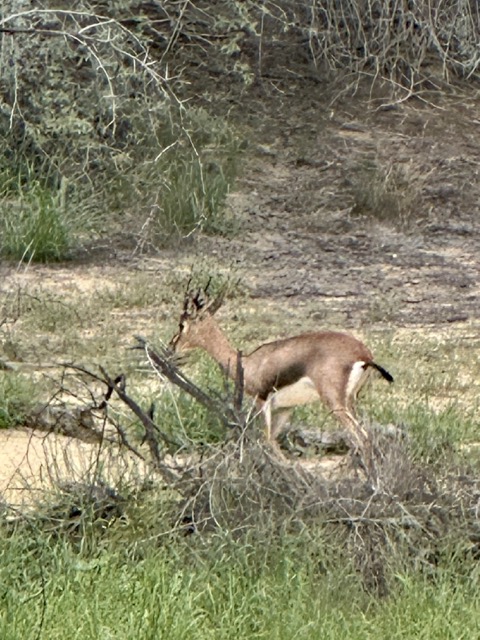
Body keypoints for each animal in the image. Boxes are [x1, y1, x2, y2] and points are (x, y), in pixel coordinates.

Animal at [169, 287, 393, 455]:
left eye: (181, 325)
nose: (172, 347)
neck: (248, 363)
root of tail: (364, 354)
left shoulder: (262, 402)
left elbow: (267, 442)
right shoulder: (287, 408)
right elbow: (274, 441)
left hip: (335, 403)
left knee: (362, 438)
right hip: (351, 401)